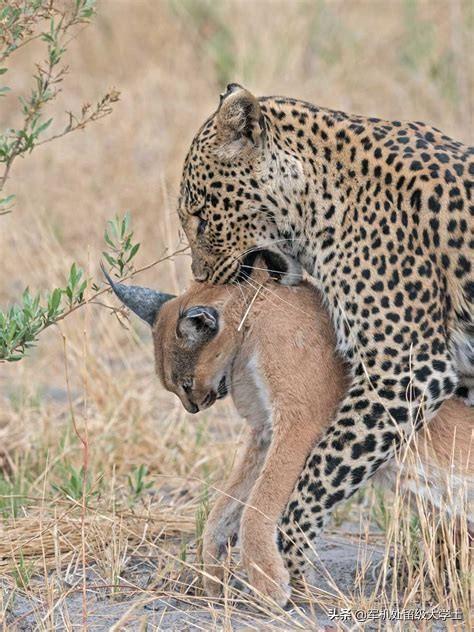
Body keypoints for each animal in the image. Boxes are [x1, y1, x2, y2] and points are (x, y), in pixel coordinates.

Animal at [103, 264, 474, 604]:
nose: (192, 408)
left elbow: (259, 503)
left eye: (185, 383)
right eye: (176, 387)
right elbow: (227, 504)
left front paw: (268, 582)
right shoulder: (264, 430)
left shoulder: (298, 420)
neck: (251, 322)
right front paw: (213, 568)